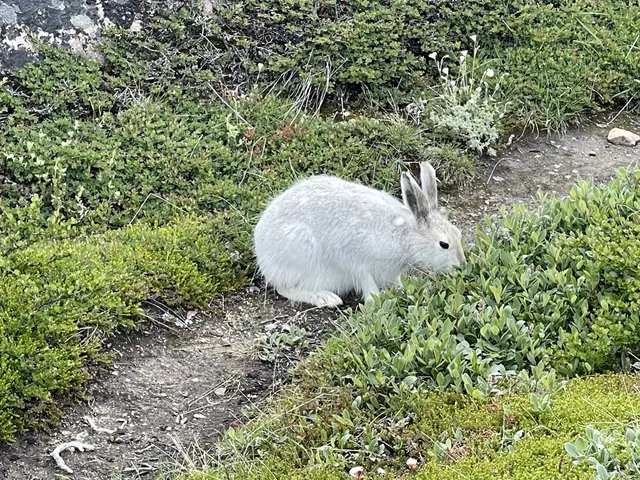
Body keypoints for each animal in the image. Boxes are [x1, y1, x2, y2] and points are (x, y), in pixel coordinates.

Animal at [253, 162, 466, 308]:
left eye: (459, 234)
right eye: (444, 244)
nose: (462, 265)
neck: (403, 236)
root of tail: (261, 254)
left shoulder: (390, 272)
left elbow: (397, 284)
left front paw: (407, 291)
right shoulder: (356, 261)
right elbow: (367, 283)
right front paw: (375, 301)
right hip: (301, 255)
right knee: (284, 288)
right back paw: (326, 298)